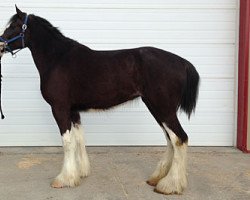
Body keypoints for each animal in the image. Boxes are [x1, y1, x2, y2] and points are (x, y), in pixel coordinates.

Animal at [0, 7, 199, 195]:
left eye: (15, 26)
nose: (0, 45)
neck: (58, 59)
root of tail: (182, 63)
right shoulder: (73, 111)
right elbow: (79, 139)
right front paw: (80, 172)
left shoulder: (60, 108)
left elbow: (67, 142)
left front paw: (64, 179)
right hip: (157, 108)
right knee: (170, 139)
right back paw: (158, 178)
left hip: (163, 109)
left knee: (180, 139)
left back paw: (170, 185)